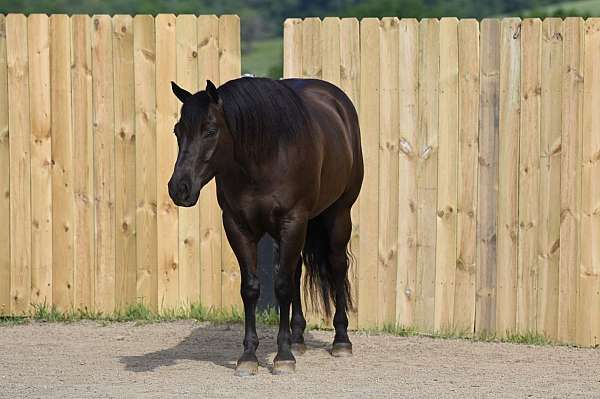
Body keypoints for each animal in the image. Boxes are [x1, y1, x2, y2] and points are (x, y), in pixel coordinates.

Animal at [170, 76, 366, 376]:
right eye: (177, 131)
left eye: (210, 130)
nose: (179, 188)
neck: (263, 159)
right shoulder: (237, 226)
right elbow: (251, 288)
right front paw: (249, 356)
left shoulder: (292, 221)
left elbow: (282, 285)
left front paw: (283, 356)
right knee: (296, 269)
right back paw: (298, 338)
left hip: (338, 215)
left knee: (336, 266)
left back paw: (341, 340)